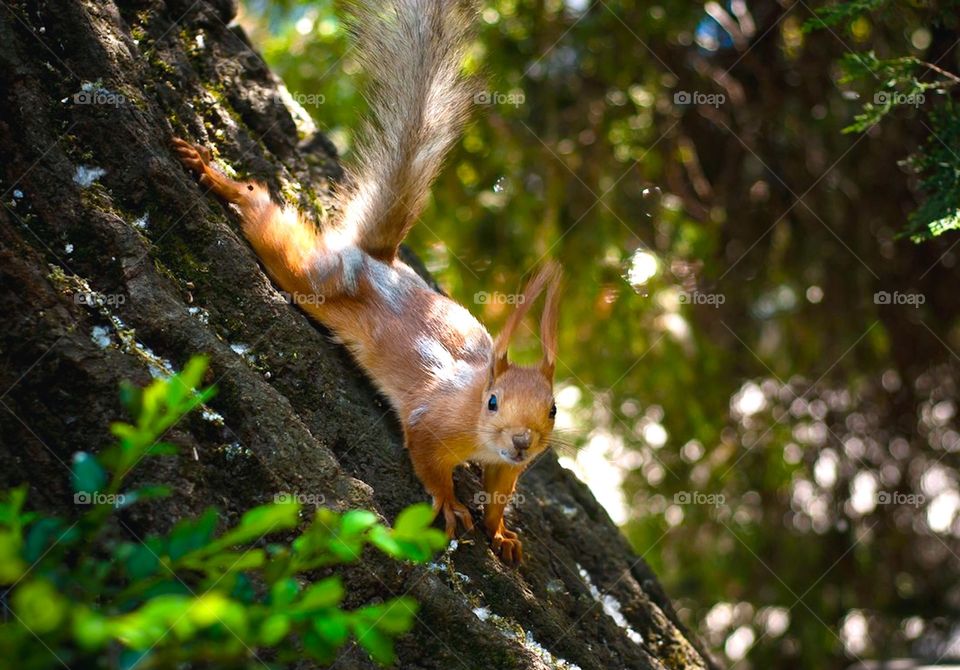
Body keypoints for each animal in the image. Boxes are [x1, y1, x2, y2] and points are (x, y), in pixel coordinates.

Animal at [172, 0, 562, 565]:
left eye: (553, 410)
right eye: (492, 401)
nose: (522, 442)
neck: (476, 414)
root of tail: (378, 260)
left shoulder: (505, 467)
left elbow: (500, 494)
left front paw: (502, 531)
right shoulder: (431, 421)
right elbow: (427, 460)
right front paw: (450, 503)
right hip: (316, 278)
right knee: (270, 226)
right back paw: (218, 177)